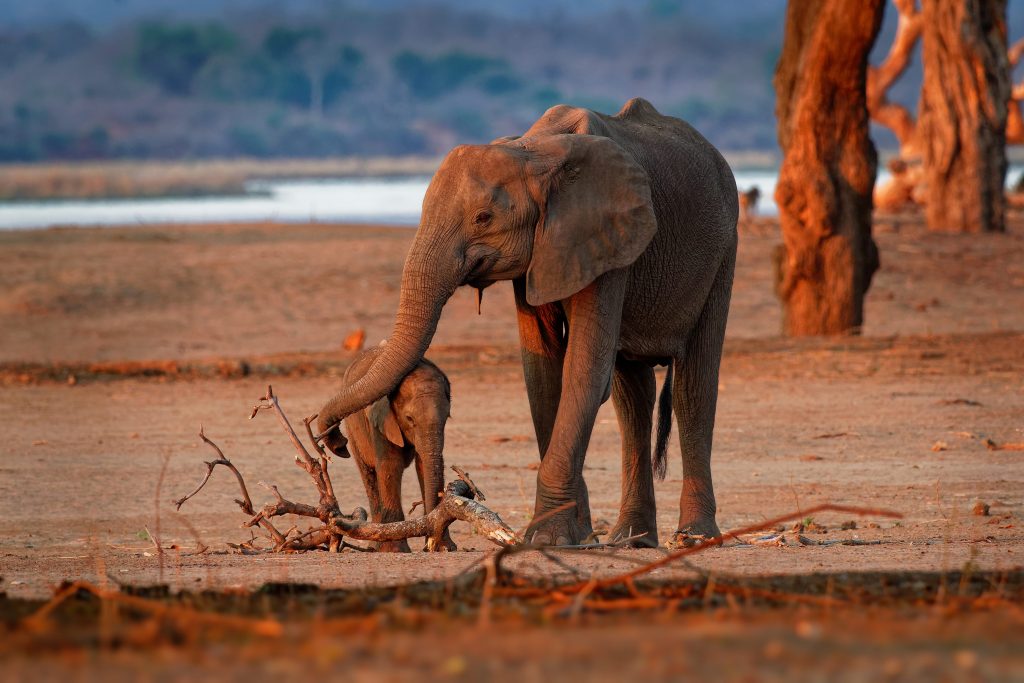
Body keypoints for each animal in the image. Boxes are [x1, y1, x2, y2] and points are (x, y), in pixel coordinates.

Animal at [339, 344, 452, 552]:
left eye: (447, 416)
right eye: (409, 419)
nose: (430, 545)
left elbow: (423, 465)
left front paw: (444, 547)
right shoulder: (380, 421)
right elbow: (391, 466)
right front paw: (395, 550)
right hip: (352, 432)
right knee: (369, 476)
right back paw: (376, 546)